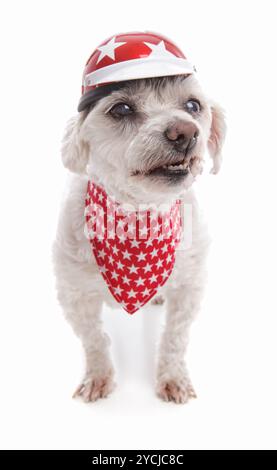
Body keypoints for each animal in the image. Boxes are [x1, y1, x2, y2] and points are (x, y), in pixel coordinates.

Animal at [52, 31, 225, 402]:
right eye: (122, 108)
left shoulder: (190, 288)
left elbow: (175, 339)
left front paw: (173, 378)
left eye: (193, 106)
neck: (138, 216)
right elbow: (94, 340)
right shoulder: (73, 294)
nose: (185, 132)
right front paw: (98, 376)